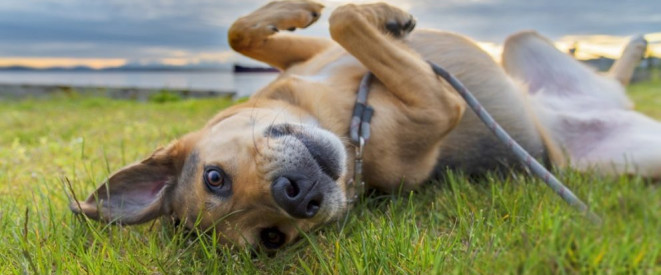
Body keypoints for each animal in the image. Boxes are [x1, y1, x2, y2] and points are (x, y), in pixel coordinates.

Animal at [71, 0, 656, 250]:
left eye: (214, 177)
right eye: (272, 239)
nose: (297, 195)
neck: (337, 116)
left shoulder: (311, 57)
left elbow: (252, 31)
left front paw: (309, 9)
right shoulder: (438, 104)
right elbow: (347, 22)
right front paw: (379, 16)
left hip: (521, 43)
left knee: (608, 75)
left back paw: (634, 45)